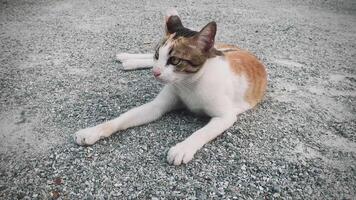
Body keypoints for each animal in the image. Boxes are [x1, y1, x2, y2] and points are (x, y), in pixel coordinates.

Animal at [73, 8, 268, 165]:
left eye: (175, 60)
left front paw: (183, 148)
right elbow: (123, 118)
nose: (155, 72)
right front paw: (93, 131)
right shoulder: (157, 106)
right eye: (157, 55)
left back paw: (129, 61)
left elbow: (201, 133)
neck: (189, 83)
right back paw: (128, 58)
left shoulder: (225, 116)